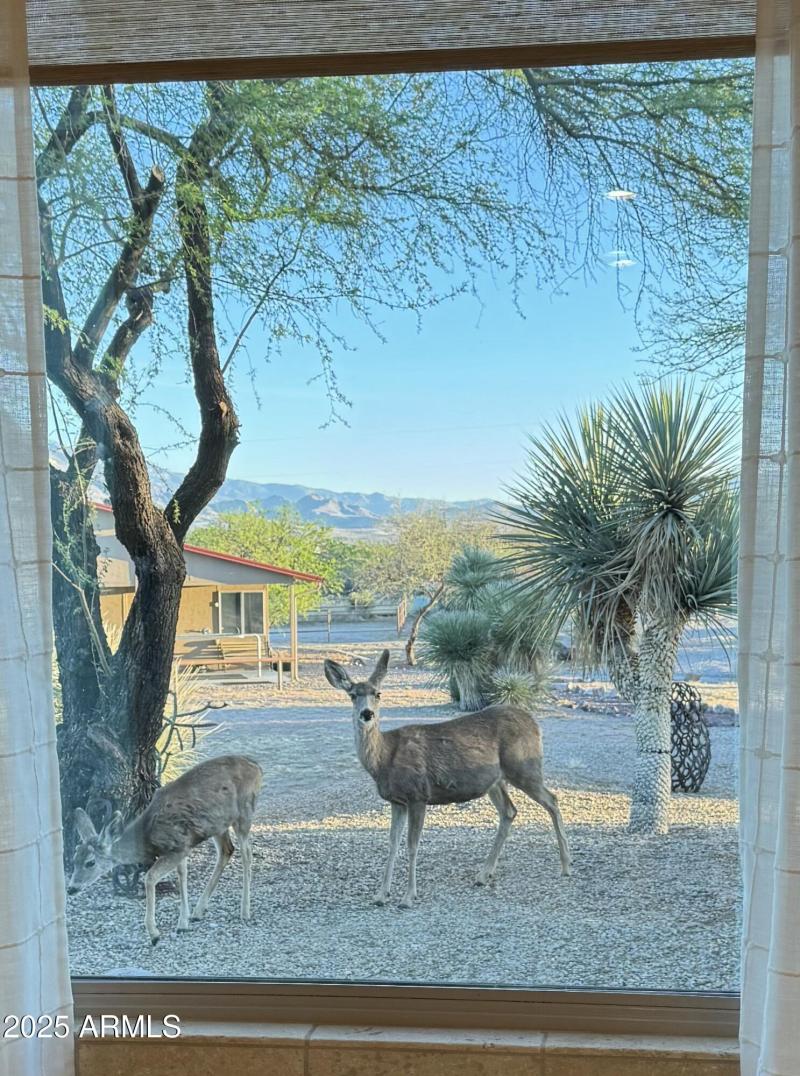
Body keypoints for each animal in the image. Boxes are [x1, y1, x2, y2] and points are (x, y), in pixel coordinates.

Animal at [67, 754, 263, 945]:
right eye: (74, 859)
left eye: (90, 862)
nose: (71, 888)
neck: (147, 836)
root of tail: (257, 768)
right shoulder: (183, 846)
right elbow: (182, 875)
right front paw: (183, 923)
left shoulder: (178, 848)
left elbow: (150, 877)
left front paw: (154, 934)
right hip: (218, 824)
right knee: (226, 850)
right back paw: (198, 911)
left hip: (244, 812)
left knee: (247, 853)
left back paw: (245, 912)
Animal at [325, 649, 571, 908]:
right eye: (353, 695)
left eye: (378, 694)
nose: (367, 714)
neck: (384, 758)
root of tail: (535, 723)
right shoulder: (396, 801)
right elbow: (392, 845)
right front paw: (381, 895)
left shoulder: (418, 794)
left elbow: (412, 845)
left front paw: (408, 896)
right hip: (495, 781)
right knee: (509, 811)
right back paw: (483, 874)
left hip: (524, 767)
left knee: (552, 800)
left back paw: (566, 865)